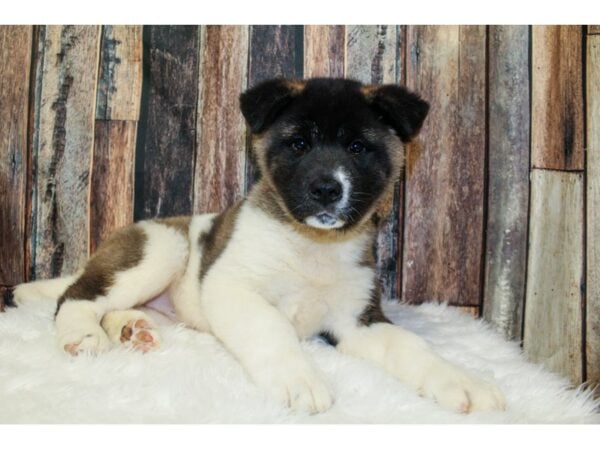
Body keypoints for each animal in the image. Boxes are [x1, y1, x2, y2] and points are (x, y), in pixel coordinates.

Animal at [14, 77, 504, 414]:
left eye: (358, 148)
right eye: (299, 144)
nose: (327, 189)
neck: (312, 244)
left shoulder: (357, 322)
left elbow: (411, 347)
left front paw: (459, 381)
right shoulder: (234, 289)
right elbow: (272, 331)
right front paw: (298, 378)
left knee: (110, 304)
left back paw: (133, 328)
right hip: (160, 248)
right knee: (74, 295)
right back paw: (82, 334)